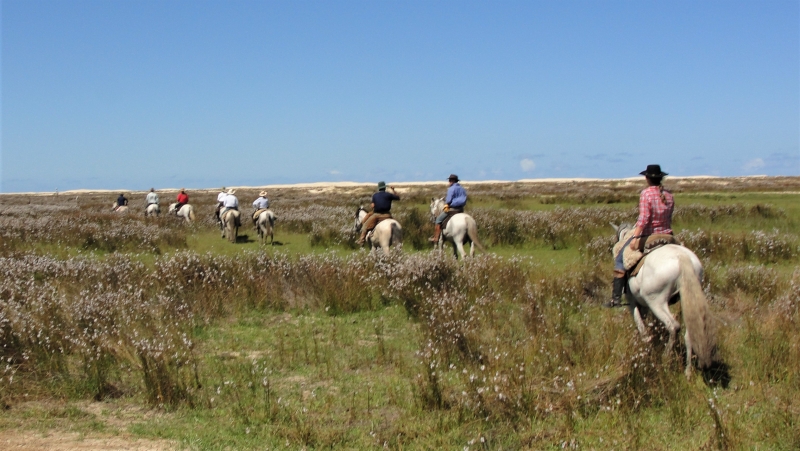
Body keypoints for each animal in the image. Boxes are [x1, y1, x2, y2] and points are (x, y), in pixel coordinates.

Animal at [608, 224, 716, 380]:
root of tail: (682, 257)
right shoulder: (644, 306)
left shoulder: (633, 303)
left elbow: (641, 327)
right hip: (685, 301)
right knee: (689, 333)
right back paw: (688, 371)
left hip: (656, 302)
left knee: (674, 326)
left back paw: (665, 358)